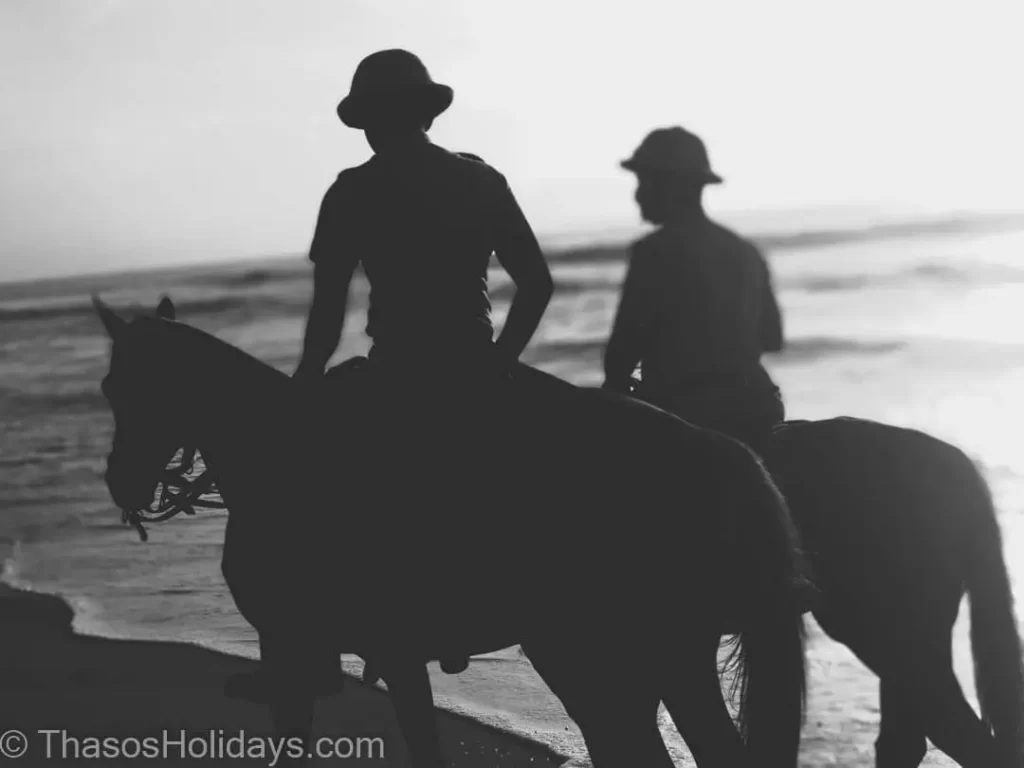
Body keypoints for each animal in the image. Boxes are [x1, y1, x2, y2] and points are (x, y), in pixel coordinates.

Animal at [92, 296, 811, 768]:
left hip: (634, 653)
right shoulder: (382, 655)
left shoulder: (298, 646)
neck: (279, 455)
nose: (121, 484)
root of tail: (720, 451)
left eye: (124, 387)